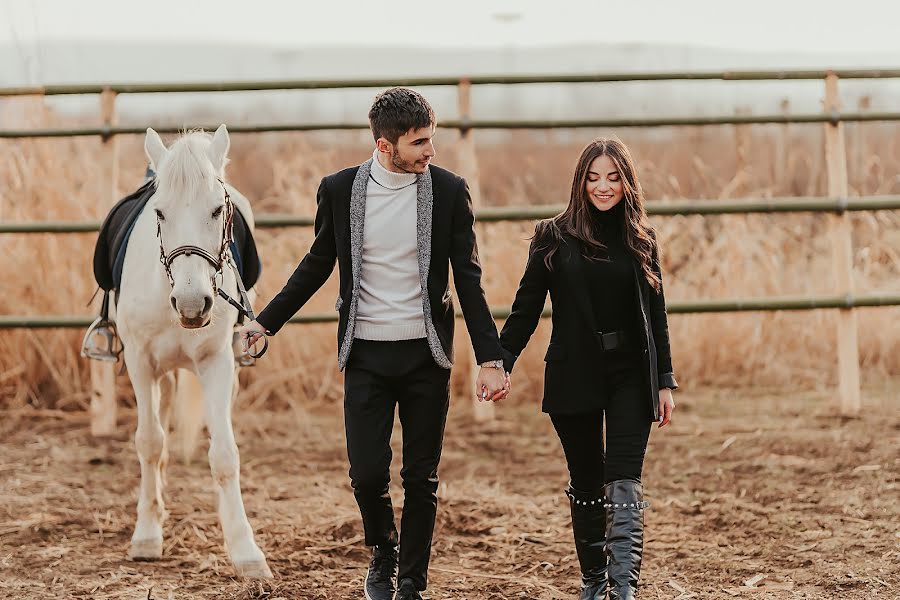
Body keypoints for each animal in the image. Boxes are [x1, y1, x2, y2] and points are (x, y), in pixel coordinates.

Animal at [117, 125, 270, 576]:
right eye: (160, 213)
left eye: (218, 211)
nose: (191, 304)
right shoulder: (139, 361)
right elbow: (149, 442)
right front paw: (147, 534)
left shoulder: (216, 362)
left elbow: (224, 453)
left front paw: (244, 549)